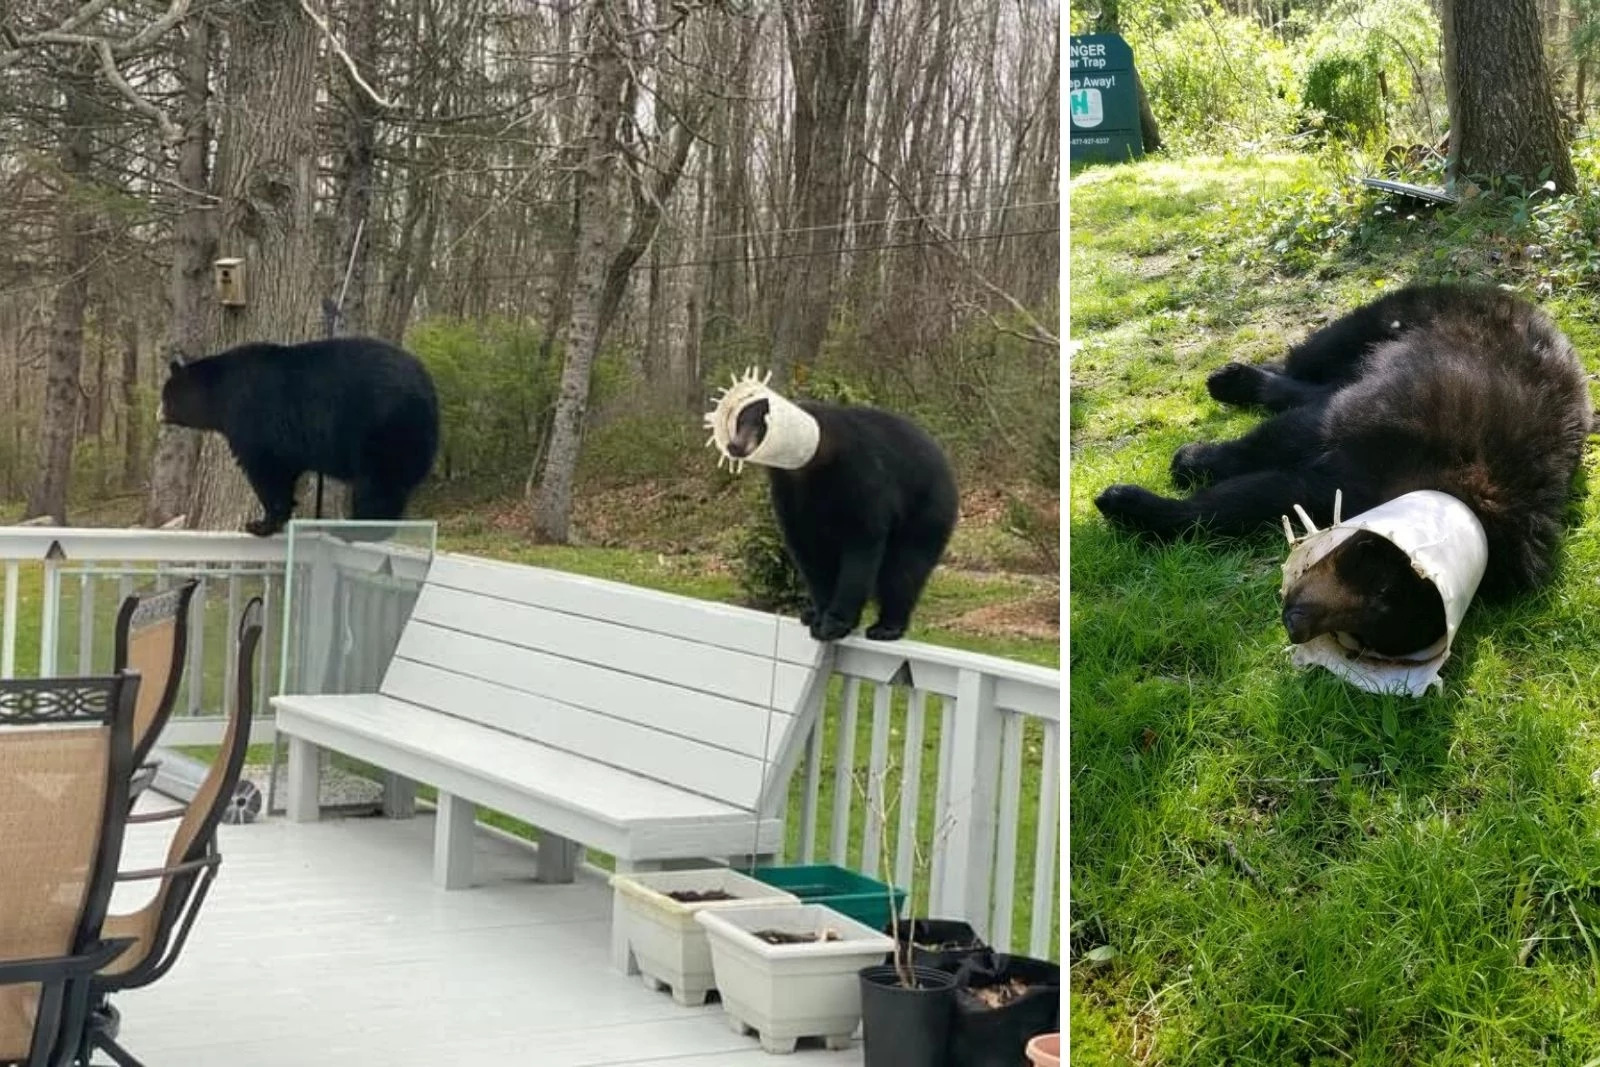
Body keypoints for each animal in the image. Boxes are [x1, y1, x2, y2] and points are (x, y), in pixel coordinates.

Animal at [160, 337, 441, 537]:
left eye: (165, 396)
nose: (157, 414)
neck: (221, 392)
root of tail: (428, 390)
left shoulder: (253, 416)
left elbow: (265, 470)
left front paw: (260, 524)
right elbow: (286, 469)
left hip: (383, 430)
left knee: (378, 485)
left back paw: (358, 529)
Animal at [1094, 283, 1593, 652]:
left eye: (1366, 636)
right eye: (1381, 585)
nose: (1294, 626)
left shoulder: (1334, 487)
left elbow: (1244, 501)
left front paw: (1147, 506)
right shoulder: (1368, 420)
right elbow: (1271, 444)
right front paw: (1180, 468)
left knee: (1310, 388)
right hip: (1377, 325)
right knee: (1309, 367)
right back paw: (1233, 380)